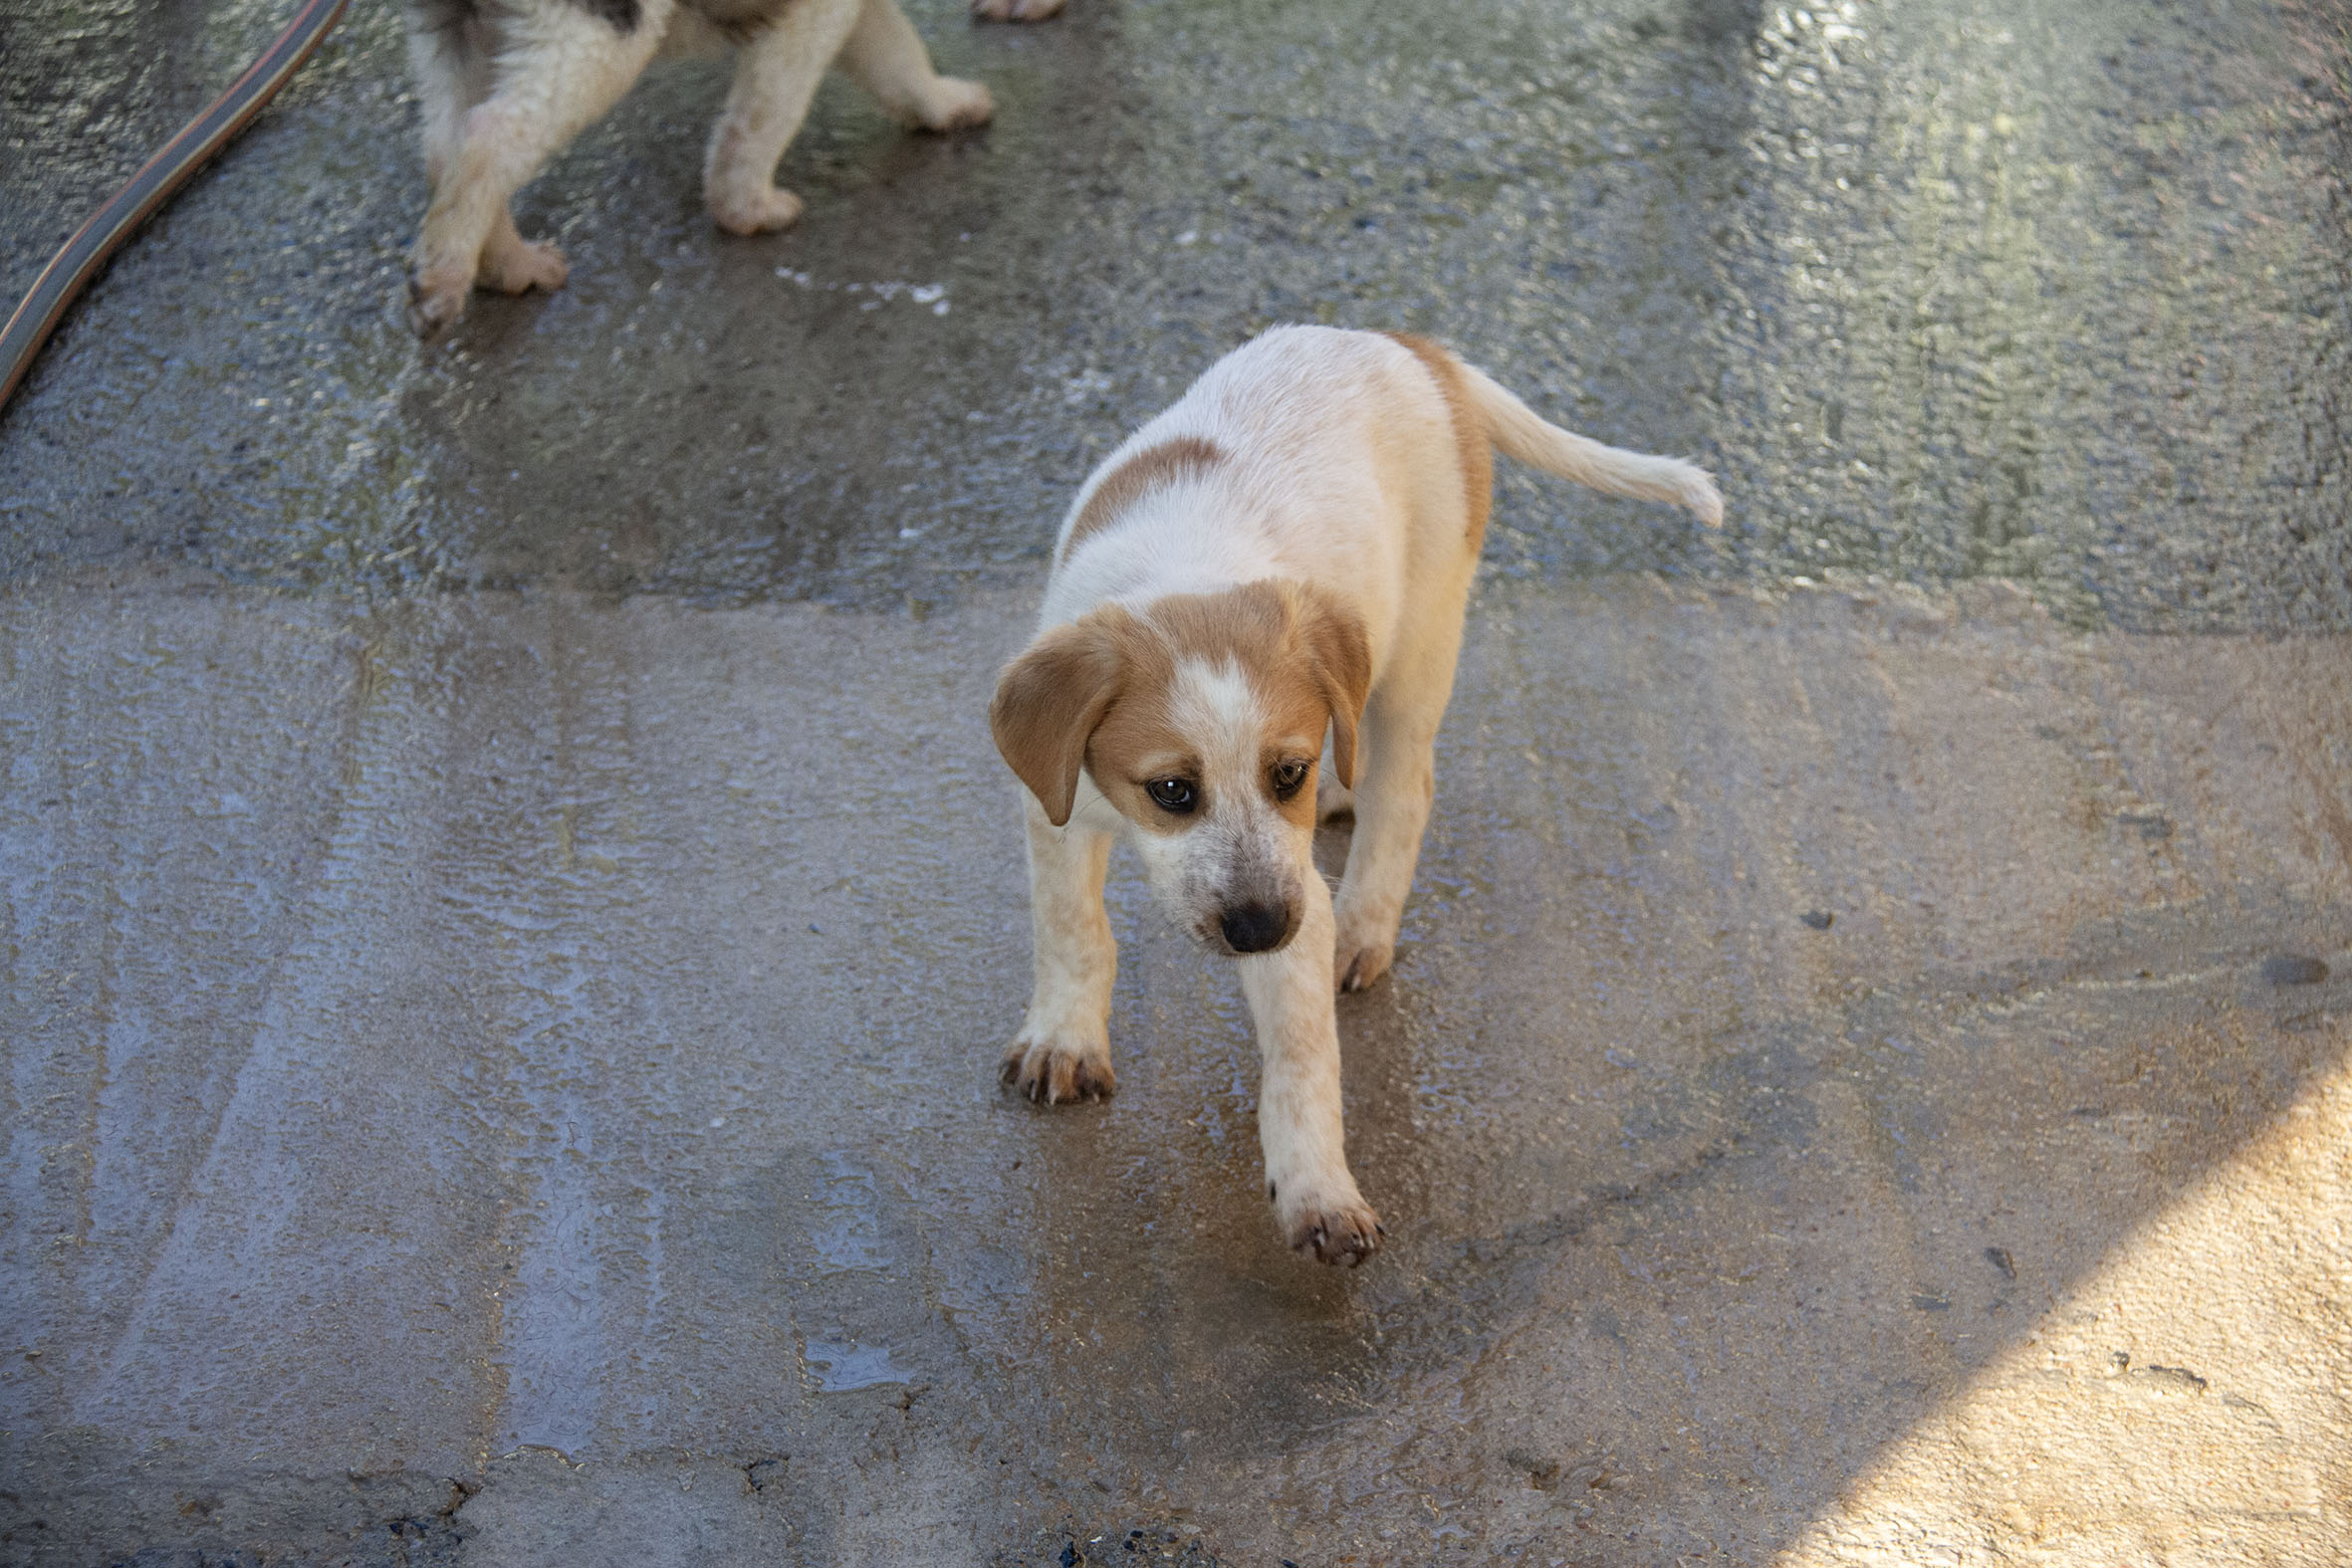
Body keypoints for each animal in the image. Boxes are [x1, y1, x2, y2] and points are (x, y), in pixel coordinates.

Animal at [403, 0, 993, 336]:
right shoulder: (815, 13)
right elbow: (773, 100)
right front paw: (746, 208)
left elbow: (898, 57)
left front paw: (947, 105)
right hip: (598, 28)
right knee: (491, 135)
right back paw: (443, 282)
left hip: (469, 28)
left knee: (444, 146)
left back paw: (508, 266)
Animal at [989, 326, 1722, 1265]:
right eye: (1172, 790)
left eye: (1284, 775)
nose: (1261, 929)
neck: (1185, 569)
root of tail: (1417, 348)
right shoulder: (1060, 807)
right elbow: (1073, 929)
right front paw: (1066, 1039)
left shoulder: (1296, 894)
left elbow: (1303, 1059)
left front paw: (1318, 1190)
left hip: (1422, 644)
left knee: (1403, 789)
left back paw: (1368, 919)